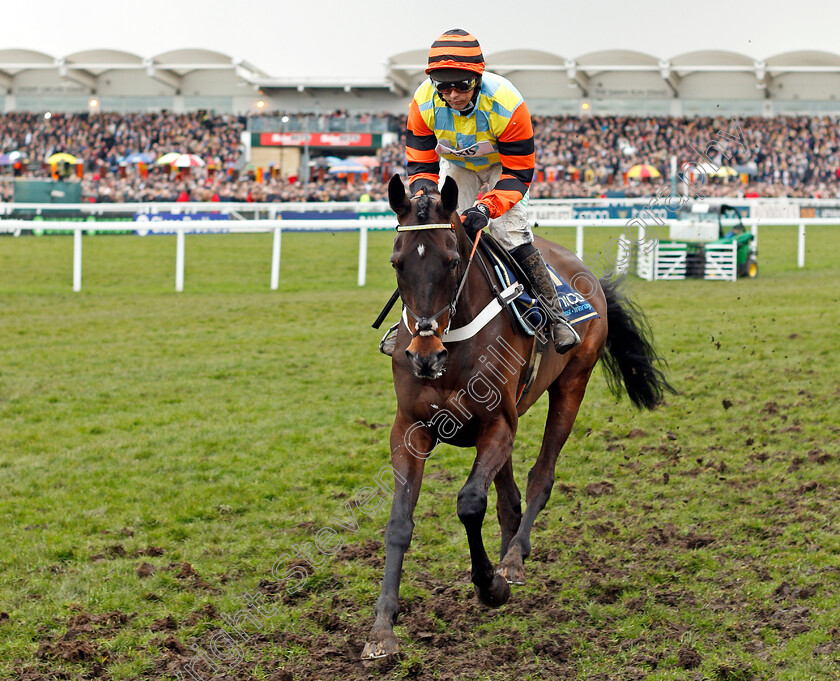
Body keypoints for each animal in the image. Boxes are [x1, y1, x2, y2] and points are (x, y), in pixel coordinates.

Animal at [360, 175, 668, 660]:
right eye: (396, 263)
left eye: (452, 261)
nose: (424, 356)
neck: (454, 342)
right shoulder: (409, 429)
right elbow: (399, 522)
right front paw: (383, 627)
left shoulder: (499, 424)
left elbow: (470, 502)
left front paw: (490, 586)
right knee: (509, 497)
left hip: (571, 386)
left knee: (541, 475)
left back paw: (512, 560)